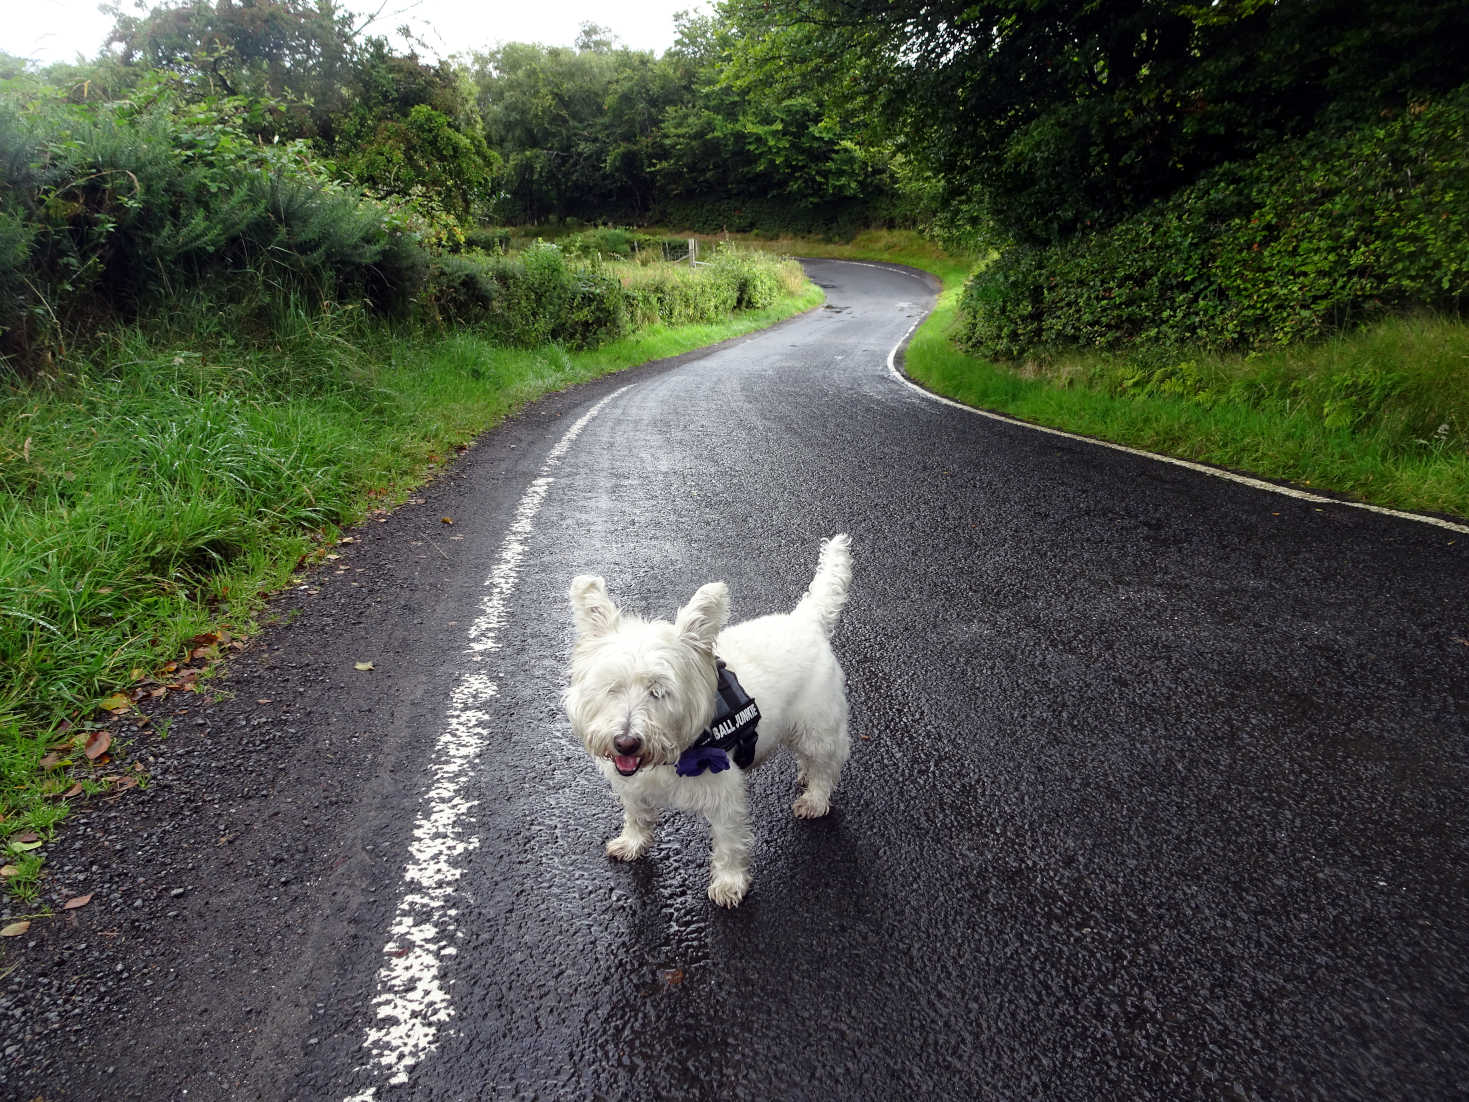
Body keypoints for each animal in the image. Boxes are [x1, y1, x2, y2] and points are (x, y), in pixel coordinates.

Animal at [567, 534, 857, 905]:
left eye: (659, 691)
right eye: (612, 687)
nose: (626, 742)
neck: (671, 755)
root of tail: (806, 621)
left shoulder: (725, 795)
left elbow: (730, 843)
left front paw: (730, 884)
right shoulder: (632, 785)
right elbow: (637, 816)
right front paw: (632, 843)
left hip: (818, 725)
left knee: (827, 764)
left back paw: (815, 799)